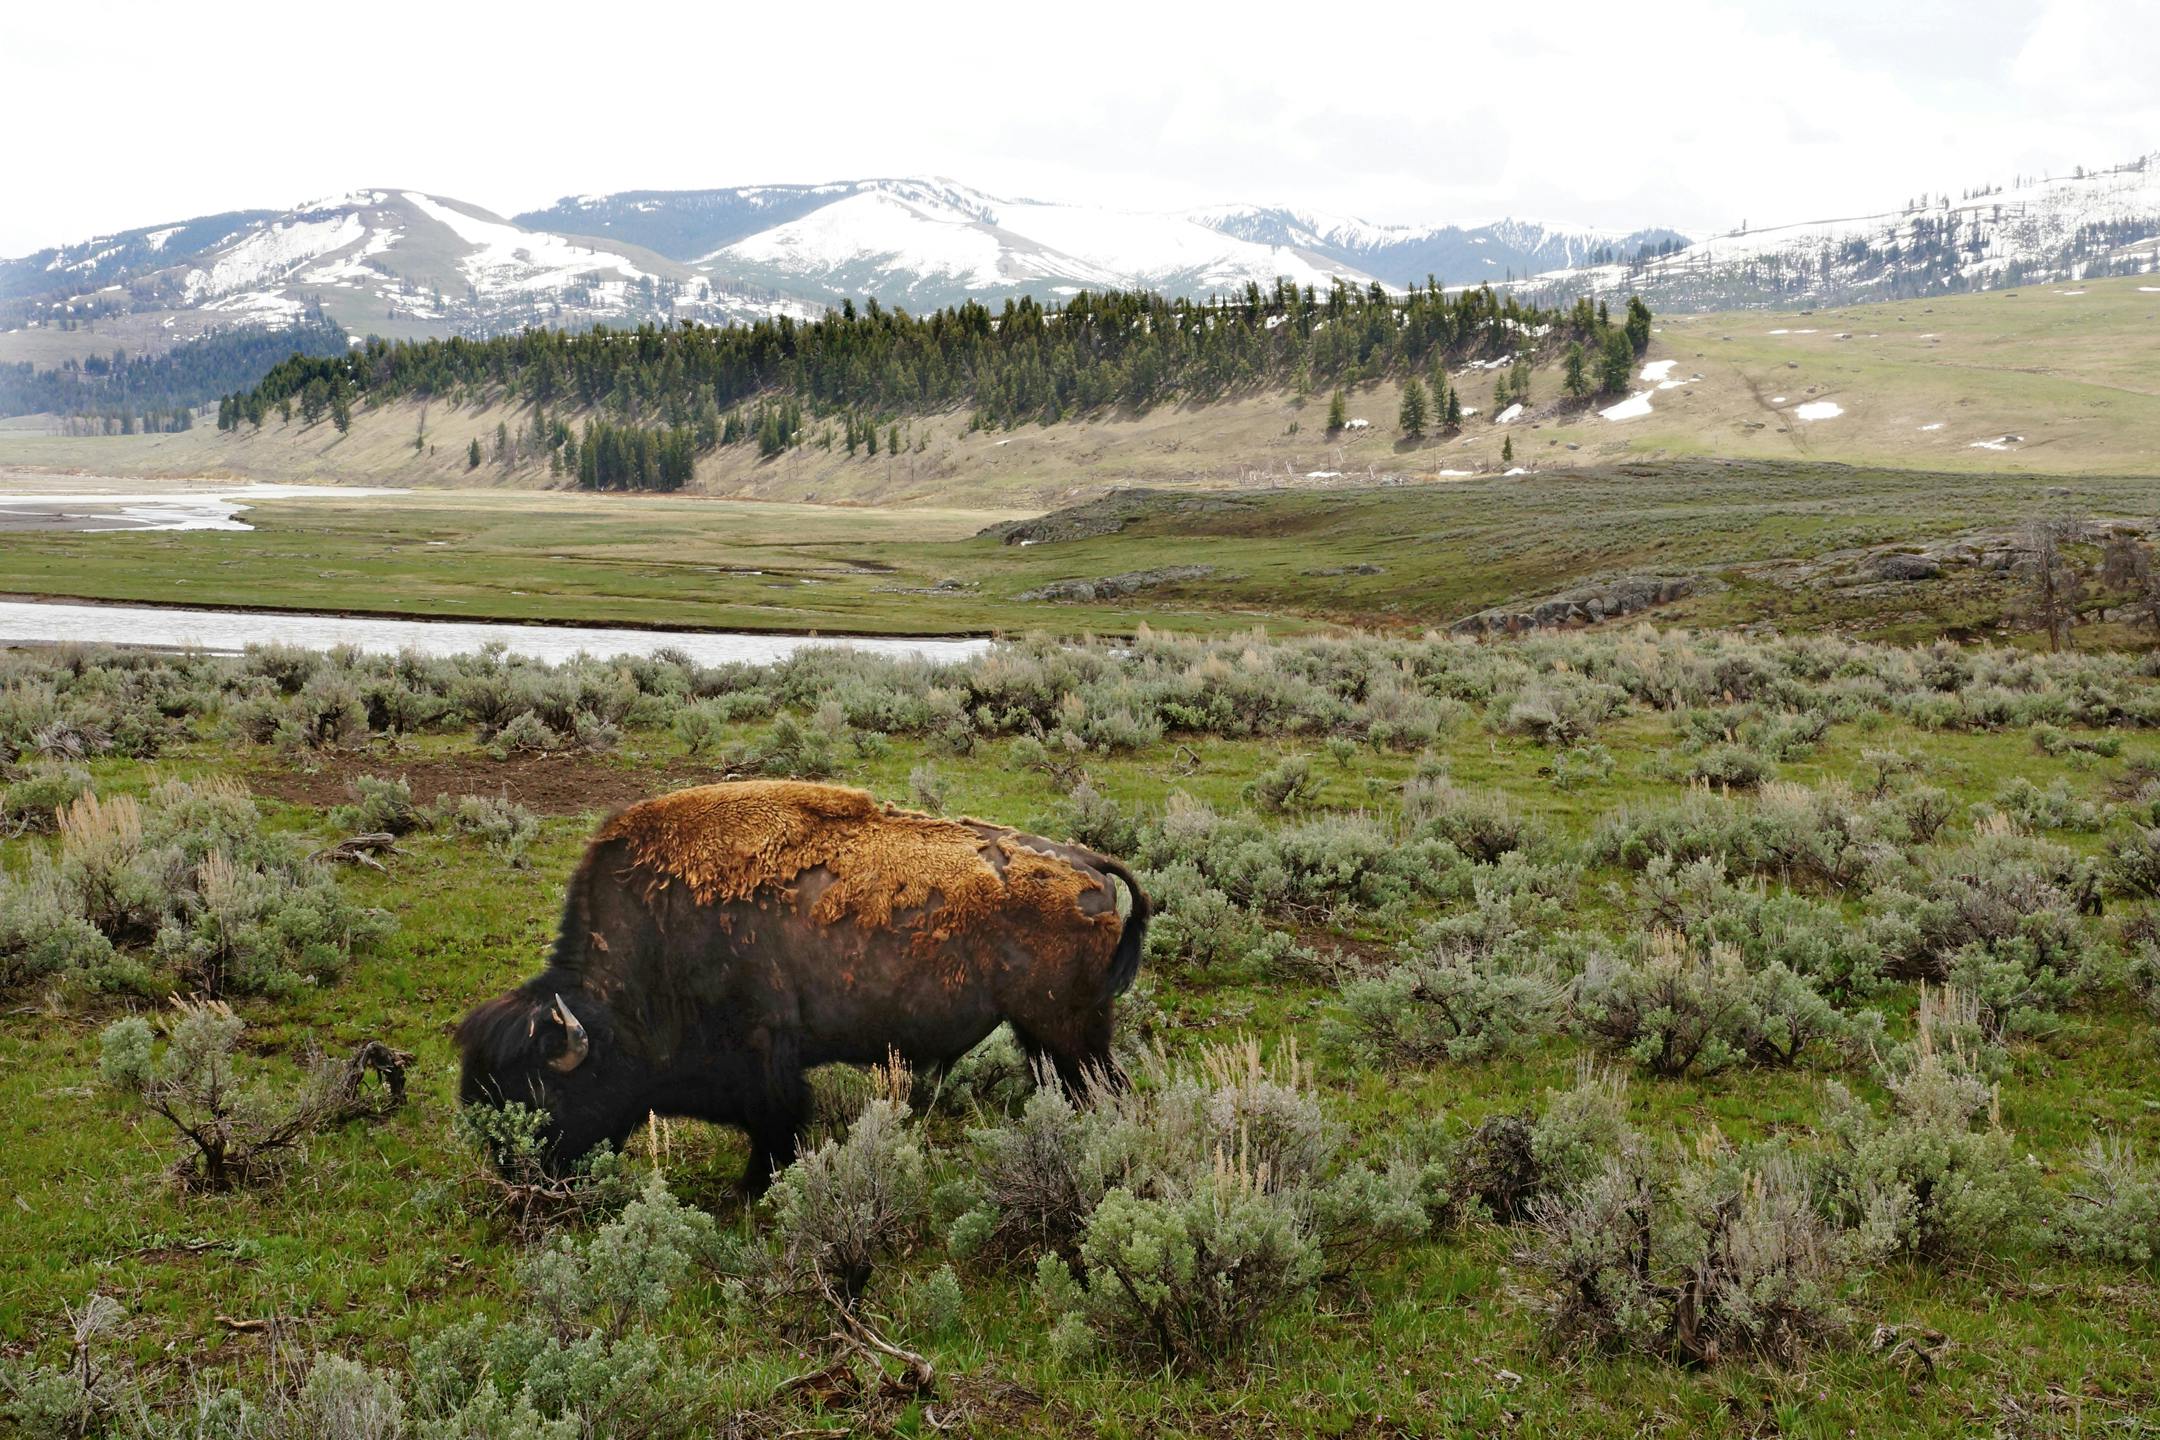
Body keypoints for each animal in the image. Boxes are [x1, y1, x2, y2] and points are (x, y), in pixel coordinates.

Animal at [457, 779, 1149, 1185]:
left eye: (541, 1093)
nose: (519, 1172)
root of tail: (1090, 864)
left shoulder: (766, 1055)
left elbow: (777, 1124)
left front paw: (756, 1188)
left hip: (1070, 1029)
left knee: (1105, 1087)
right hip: (1045, 1031)